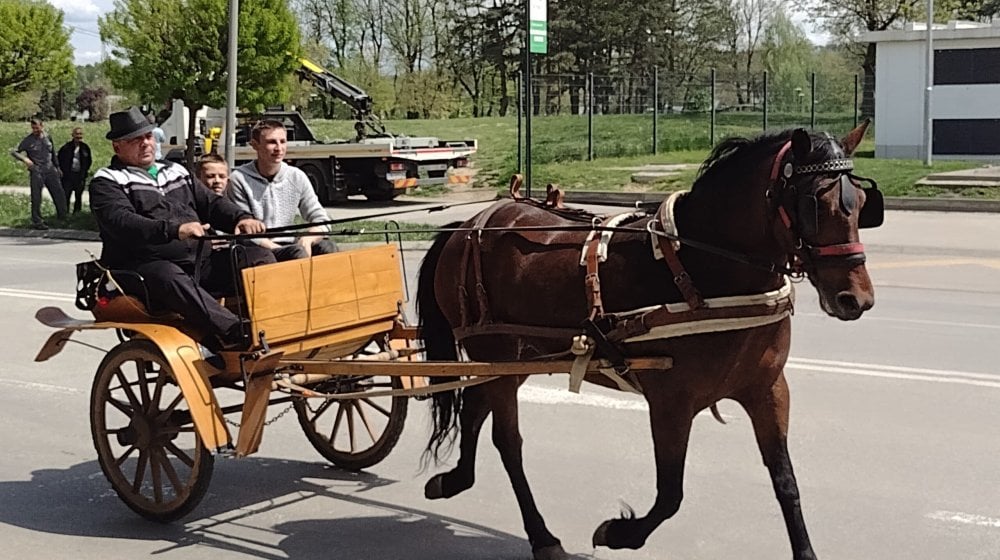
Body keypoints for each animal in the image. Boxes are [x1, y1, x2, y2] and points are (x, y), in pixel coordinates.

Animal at [418, 120, 880, 556]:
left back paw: (456, 479)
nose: (855, 298)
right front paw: (620, 532)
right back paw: (541, 535)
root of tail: (468, 226)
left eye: (862, 205)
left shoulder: (767, 390)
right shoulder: (671, 402)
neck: (699, 269)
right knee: (508, 442)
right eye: (813, 204)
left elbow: (786, 482)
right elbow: (671, 493)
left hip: (517, 357)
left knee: (475, 407)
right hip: (495, 350)